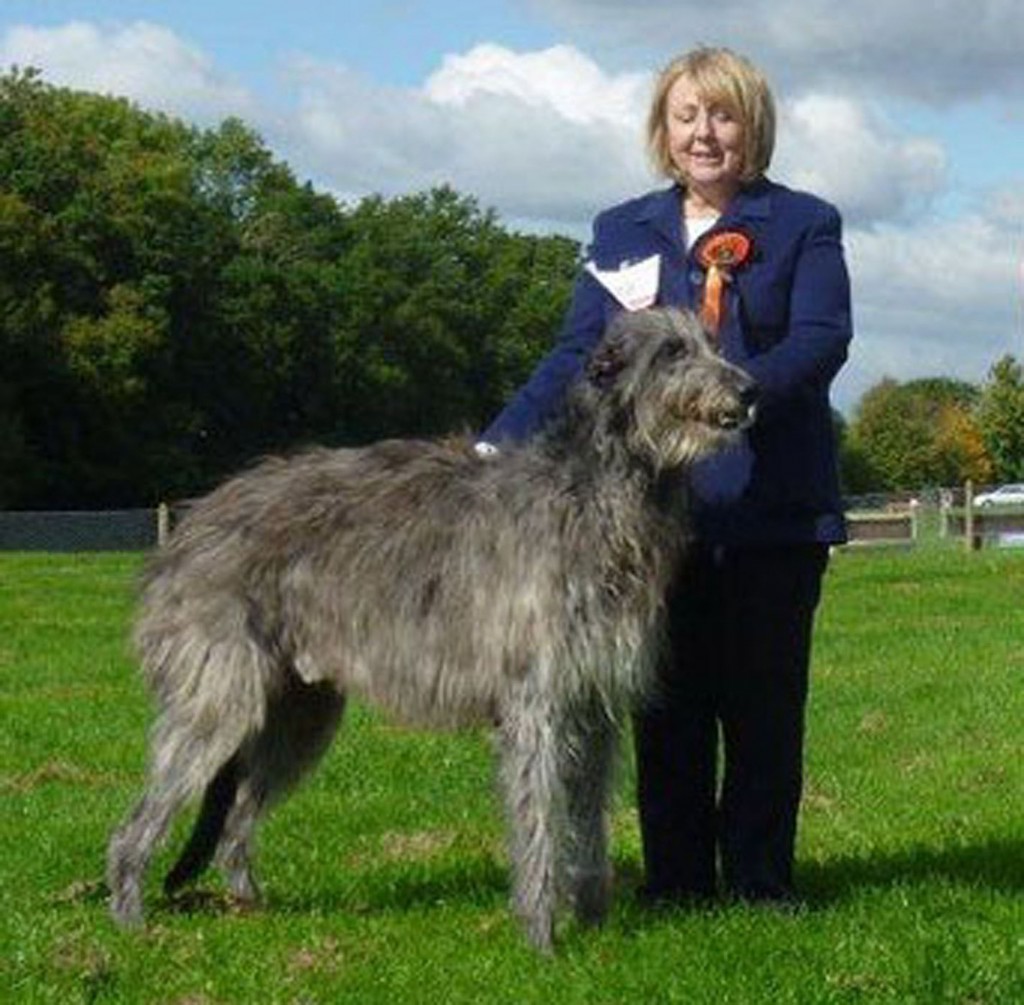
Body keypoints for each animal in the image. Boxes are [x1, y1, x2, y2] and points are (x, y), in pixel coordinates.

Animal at [108, 305, 757, 950]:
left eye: (713, 344)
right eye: (672, 351)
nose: (750, 390)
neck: (594, 494)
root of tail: (187, 529)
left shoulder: (595, 704)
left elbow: (589, 819)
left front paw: (594, 923)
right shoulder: (535, 703)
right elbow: (540, 821)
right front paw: (542, 937)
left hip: (300, 711)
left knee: (238, 815)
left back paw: (250, 907)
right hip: (220, 698)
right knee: (137, 822)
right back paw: (129, 917)